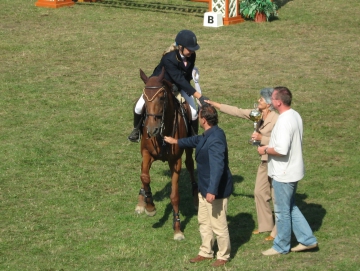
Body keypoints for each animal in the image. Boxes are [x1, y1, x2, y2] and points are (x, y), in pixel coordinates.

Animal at [134, 67, 197, 240]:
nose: (151, 129)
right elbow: (145, 176)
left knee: (190, 165)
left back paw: (196, 196)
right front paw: (149, 206)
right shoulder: (146, 153)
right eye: (144, 97)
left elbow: (174, 196)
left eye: (162, 98)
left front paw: (177, 229)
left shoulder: (175, 162)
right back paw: (141, 202)